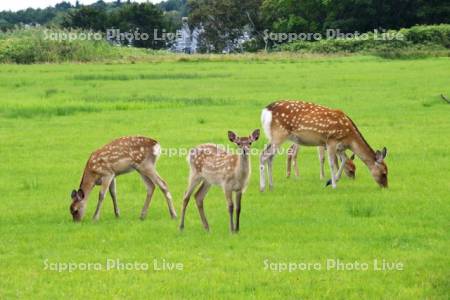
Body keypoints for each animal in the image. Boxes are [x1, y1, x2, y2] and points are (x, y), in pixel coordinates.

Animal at [258, 101, 388, 190]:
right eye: (384, 173)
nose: (385, 186)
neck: (349, 138)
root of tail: (265, 112)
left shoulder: (340, 146)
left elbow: (343, 160)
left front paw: (331, 181)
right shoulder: (331, 140)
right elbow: (331, 162)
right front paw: (334, 185)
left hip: (273, 137)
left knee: (269, 157)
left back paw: (271, 185)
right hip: (279, 135)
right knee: (264, 155)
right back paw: (263, 187)